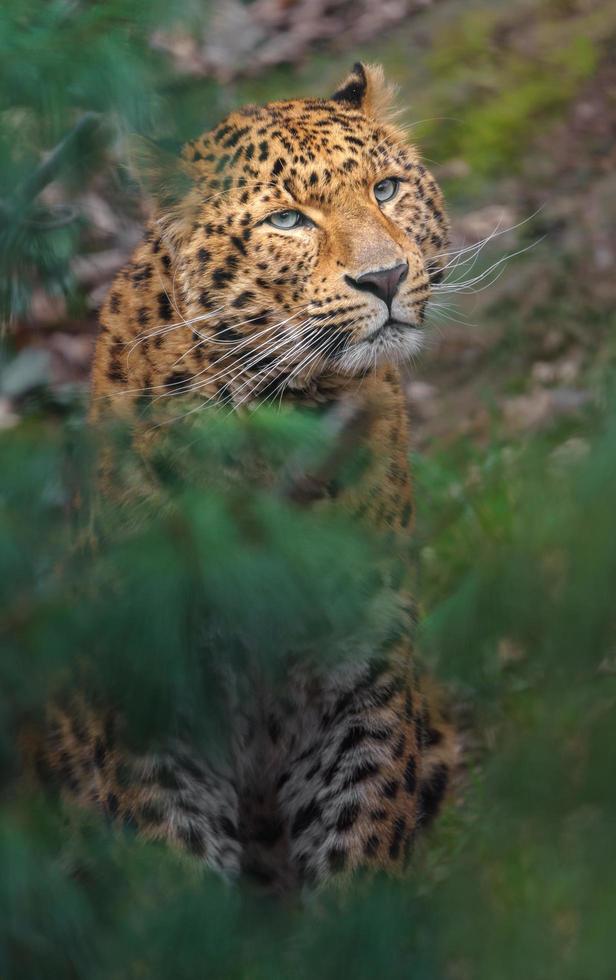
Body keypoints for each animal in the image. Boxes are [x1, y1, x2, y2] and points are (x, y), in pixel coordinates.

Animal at [32, 61, 458, 888]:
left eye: (386, 189)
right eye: (287, 221)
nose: (387, 277)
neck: (282, 420)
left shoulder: (361, 687)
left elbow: (358, 850)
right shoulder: (158, 715)